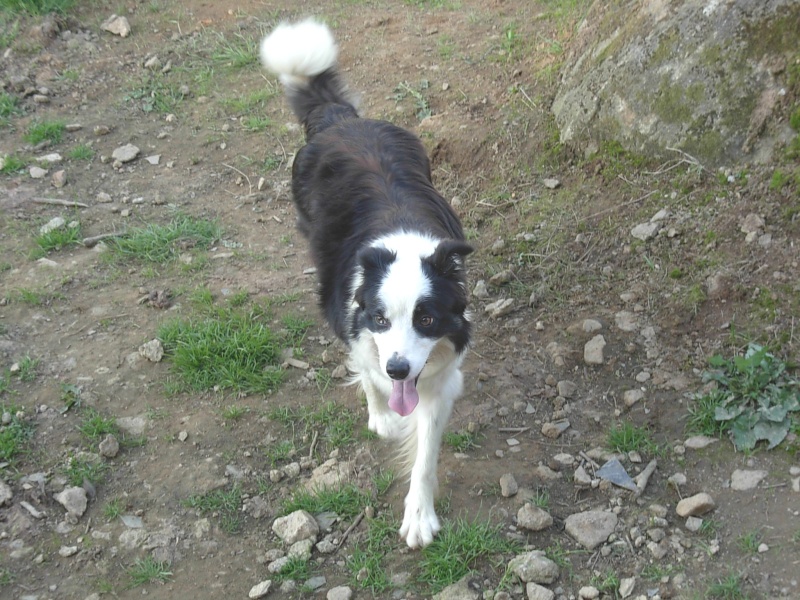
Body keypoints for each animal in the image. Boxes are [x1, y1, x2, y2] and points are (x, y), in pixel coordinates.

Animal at [262, 18, 472, 548]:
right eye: (380, 318)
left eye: (427, 319)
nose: (398, 369)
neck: (405, 243)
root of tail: (339, 119)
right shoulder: (353, 318)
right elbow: (365, 366)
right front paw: (380, 413)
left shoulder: (439, 376)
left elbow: (425, 454)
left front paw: (419, 515)